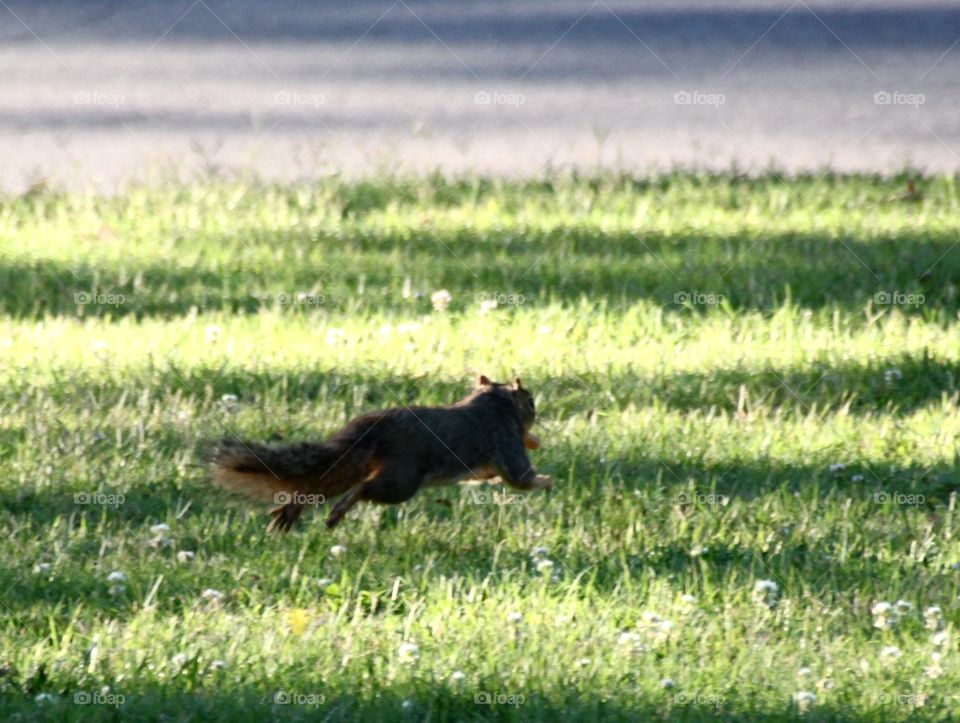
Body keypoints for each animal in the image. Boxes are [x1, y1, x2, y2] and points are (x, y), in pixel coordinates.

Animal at [209, 376, 553, 532]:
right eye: (531, 401)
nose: (535, 421)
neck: (492, 403)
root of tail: (374, 428)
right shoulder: (506, 442)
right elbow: (521, 479)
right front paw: (548, 482)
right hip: (401, 481)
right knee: (361, 490)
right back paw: (336, 513)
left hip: (357, 465)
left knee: (320, 485)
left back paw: (289, 512)